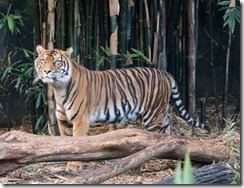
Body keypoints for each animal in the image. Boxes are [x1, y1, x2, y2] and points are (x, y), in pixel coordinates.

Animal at [33, 44, 210, 173]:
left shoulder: (80, 120)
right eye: (43, 60)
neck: (58, 88)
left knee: (154, 138)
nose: (47, 71)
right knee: (167, 133)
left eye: (57, 61)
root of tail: (164, 73)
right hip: (162, 112)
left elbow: (77, 142)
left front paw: (74, 166)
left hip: (152, 115)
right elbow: (67, 142)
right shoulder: (63, 121)